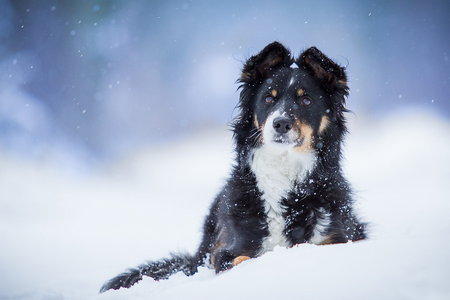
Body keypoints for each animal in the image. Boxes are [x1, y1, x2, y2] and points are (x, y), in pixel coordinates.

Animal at [99, 42, 366, 292]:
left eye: (306, 100)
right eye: (268, 98)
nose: (280, 123)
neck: (284, 169)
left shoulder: (338, 237)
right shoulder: (227, 250)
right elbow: (239, 259)